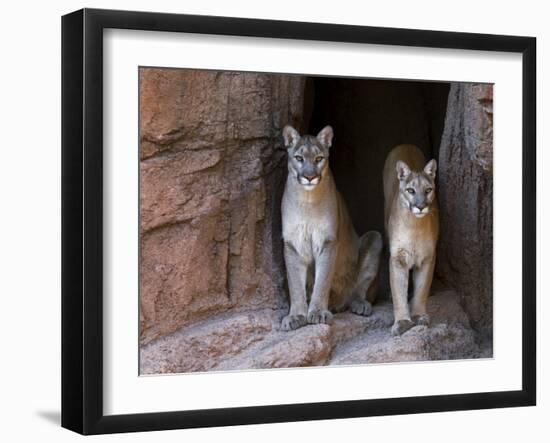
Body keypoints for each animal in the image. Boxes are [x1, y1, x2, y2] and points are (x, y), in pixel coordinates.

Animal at [282, 123, 382, 332]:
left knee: (359, 290)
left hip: (375, 238)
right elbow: (295, 284)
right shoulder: (292, 243)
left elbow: (322, 280)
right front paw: (295, 316)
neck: (307, 200)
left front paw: (318, 312)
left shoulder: (328, 241)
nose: (309, 177)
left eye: (319, 159)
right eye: (299, 158)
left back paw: (359, 304)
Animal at [384, 145, 440, 336]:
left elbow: (422, 289)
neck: (415, 226)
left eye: (428, 190)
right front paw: (402, 321)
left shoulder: (428, 257)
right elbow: (398, 292)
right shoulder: (398, 257)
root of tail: (405, 144)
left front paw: (418, 316)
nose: (421, 206)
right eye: (410, 191)